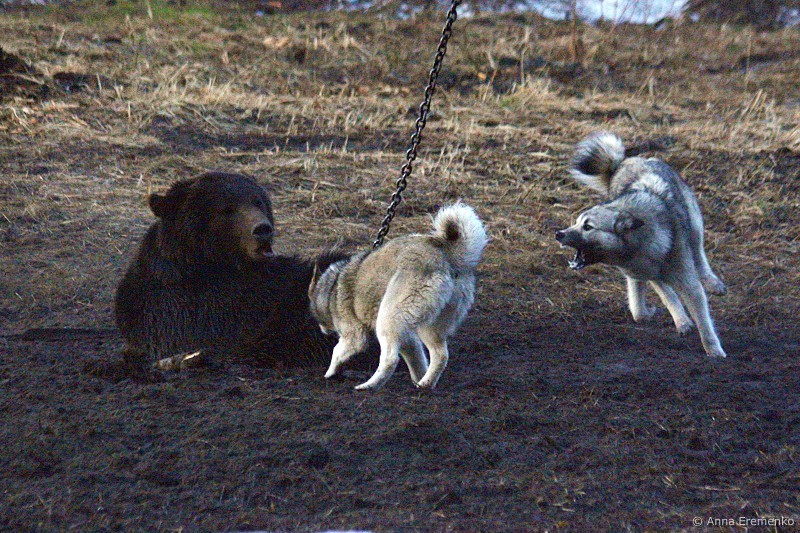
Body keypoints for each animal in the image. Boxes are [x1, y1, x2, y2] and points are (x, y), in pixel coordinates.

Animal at [308, 202, 489, 390]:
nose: (323, 330)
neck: (331, 288)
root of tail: (447, 255)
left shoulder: (355, 335)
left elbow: (337, 351)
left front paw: (330, 372)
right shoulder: (408, 338)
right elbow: (417, 359)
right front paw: (418, 377)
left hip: (388, 320)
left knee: (390, 359)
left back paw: (369, 386)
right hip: (429, 326)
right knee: (440, 355)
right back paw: (424, 384)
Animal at [555, 131, 727, 358]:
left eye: (588, 227)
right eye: (576, 222)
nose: (559, 234)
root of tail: (626, 161)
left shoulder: (688, 284)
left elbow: (704, 322)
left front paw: (714, 350)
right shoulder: (642, 274)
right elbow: (644, 309)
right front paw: (675, 318)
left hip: (695, 226)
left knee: (699, 254)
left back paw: (713, 282)